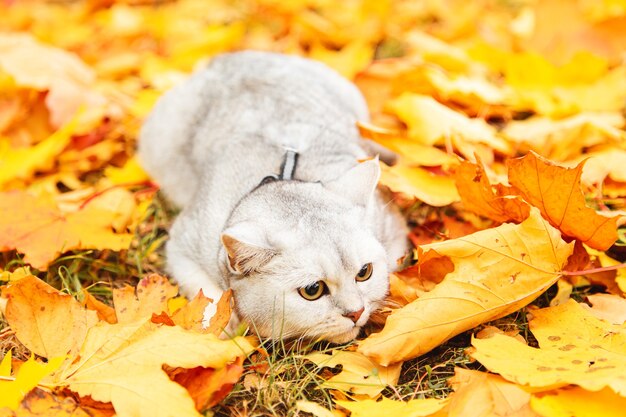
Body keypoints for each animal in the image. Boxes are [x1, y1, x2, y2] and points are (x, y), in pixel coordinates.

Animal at [139, 50, 408, 342]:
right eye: (312, 290)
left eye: (364, 273)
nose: (356, 312)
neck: (280, 178)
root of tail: (230, 58)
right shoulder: (182, 244)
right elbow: (208, 294)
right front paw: (223, 323)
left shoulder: (393, 230)